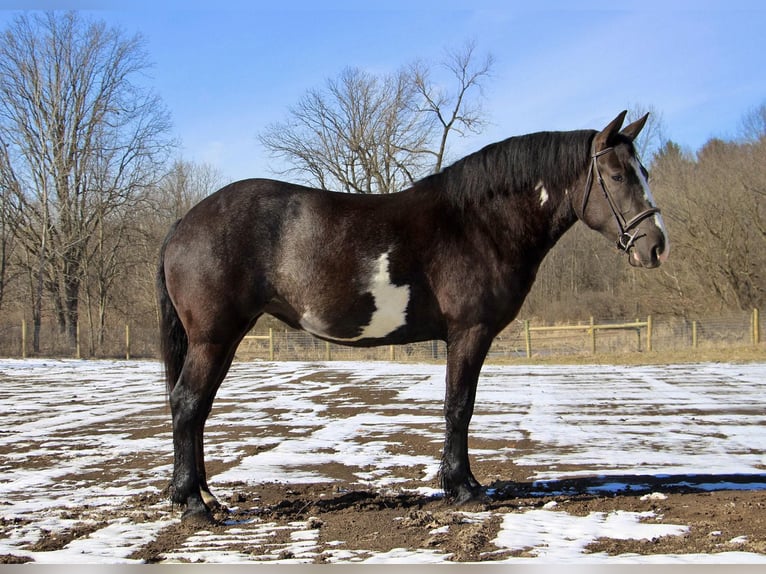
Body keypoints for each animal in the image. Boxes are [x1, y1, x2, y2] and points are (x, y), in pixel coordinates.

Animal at [159, 111, 668, 520]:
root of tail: (184, 222)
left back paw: (206, 496)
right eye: (617, 175)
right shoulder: (469, 332)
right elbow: (459, 406)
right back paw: (192, 505)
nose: (656, 246)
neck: (477, 223)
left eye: (643, 171)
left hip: (224, 339)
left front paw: (463, 484)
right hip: (213, 338)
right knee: (187, 403)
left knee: (198, 409)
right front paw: (463, 489)